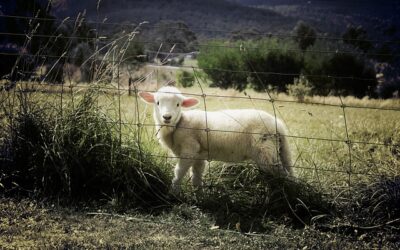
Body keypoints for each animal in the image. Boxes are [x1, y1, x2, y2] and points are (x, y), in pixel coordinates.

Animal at [139, 87, 292, 190]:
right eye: (157, 102)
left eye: (178, 104)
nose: (167, 117)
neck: (178, 124)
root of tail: (278, 125)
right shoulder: (199, 155)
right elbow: (196, 176)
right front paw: (198, 195)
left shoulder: (189, 149)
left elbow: (179, 173)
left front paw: (173, 192)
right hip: (278, 151)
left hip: (265, 152)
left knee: (283, 174)